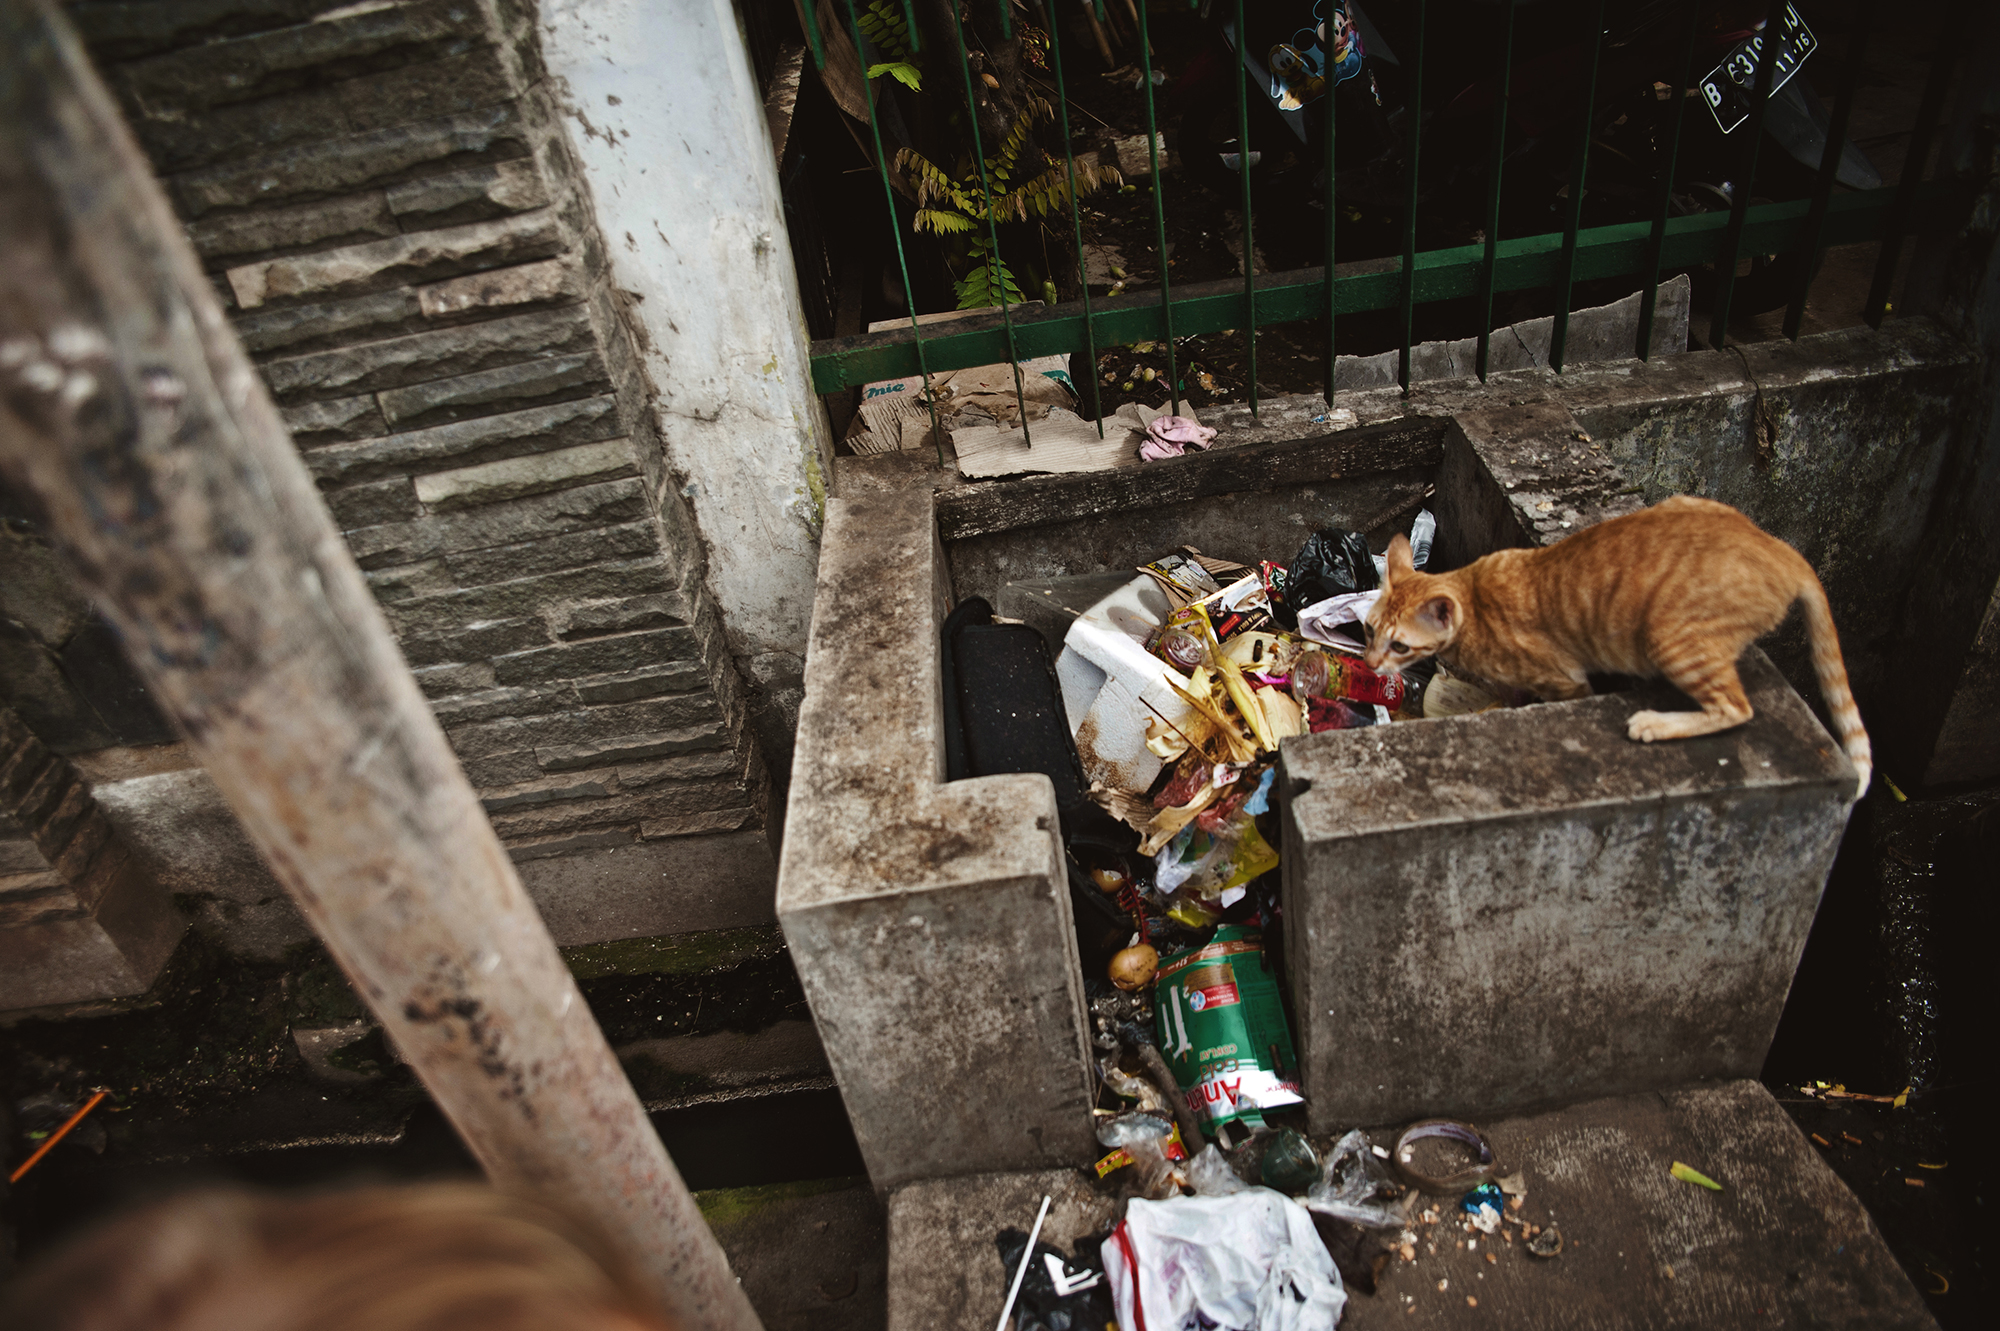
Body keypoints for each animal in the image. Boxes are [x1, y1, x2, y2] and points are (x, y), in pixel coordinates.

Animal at [1361, 495, 1872, 798]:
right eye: (1367, 631)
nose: (1368, 661)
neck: (1472, 592)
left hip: (1670, 636)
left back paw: (1656, 724)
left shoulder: (1565, 681)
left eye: (1400, 646)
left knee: (1736, 707)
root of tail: (1783, 553)